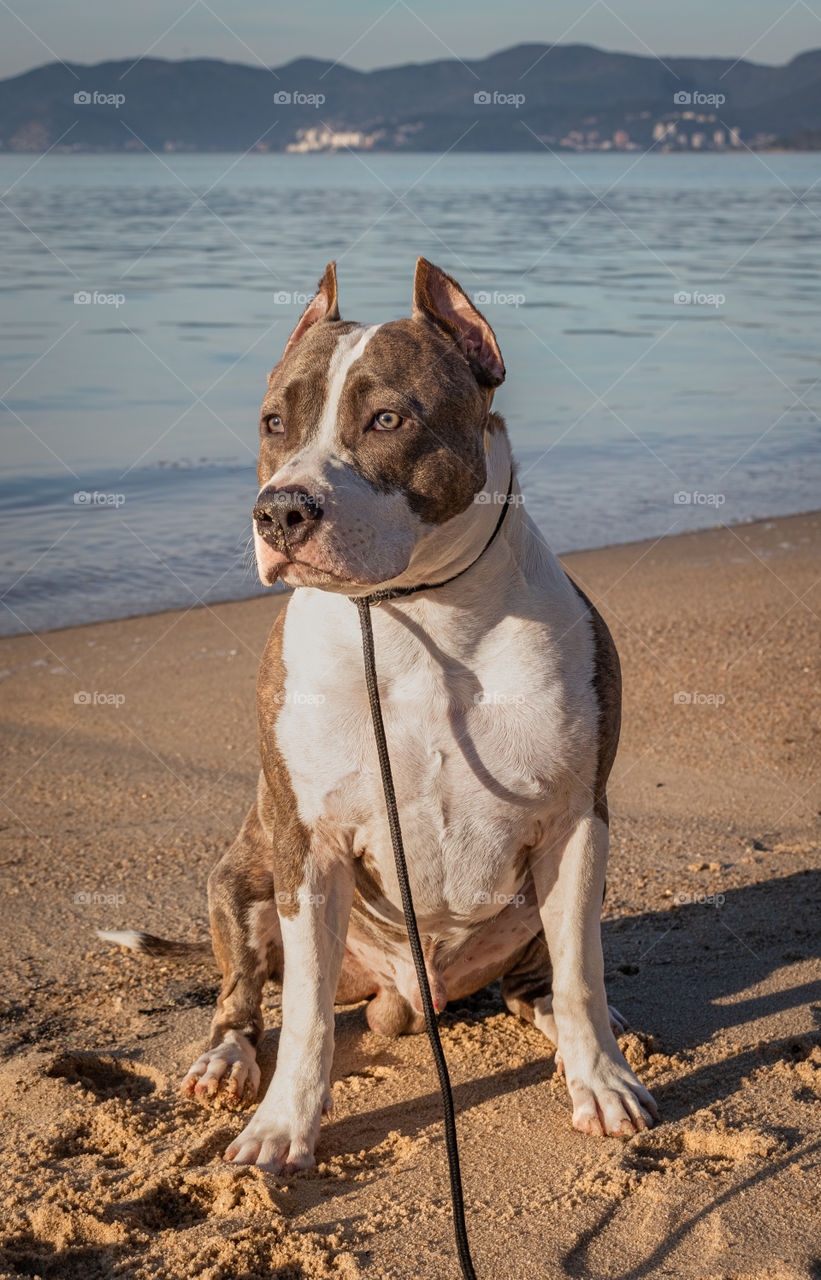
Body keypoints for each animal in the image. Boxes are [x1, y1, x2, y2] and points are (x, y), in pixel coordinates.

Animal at [103, 259, 653, 1172]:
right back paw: (225, 1060)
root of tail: (409, 999)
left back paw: (576, 1027)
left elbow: (581, 970)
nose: (281, 510)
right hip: (241, 875)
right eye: (274, 422)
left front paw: (601, 1081)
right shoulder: (309, 843)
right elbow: (305, 1016)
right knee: (245, 994)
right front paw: (282, 1128)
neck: (415, 618)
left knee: (541, 980)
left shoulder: (576, 822)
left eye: (387, 418)